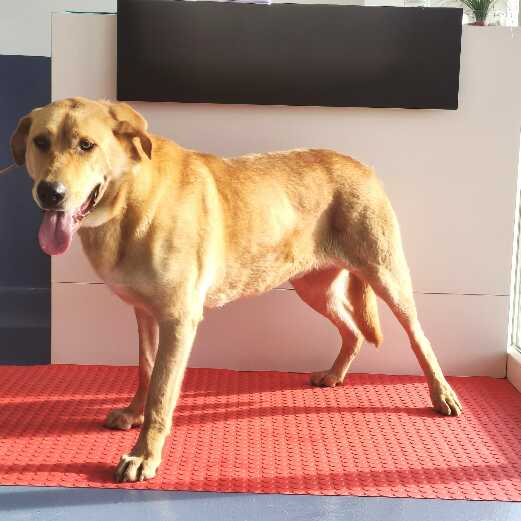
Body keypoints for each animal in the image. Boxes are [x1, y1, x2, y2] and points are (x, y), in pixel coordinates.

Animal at [10, 97, 462, 483]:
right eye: (41, 141)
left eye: (86, 145)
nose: (50, 193)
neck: (133, 200)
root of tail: (362, 165)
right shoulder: (144, 313)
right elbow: (145, 370)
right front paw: (134, 413)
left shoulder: (179, 319)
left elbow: (162, 392)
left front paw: (144, 455)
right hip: (313, 287)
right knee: (351, 330)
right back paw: (334, 374)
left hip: (388, 276)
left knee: (419, 337)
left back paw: (442, 394)